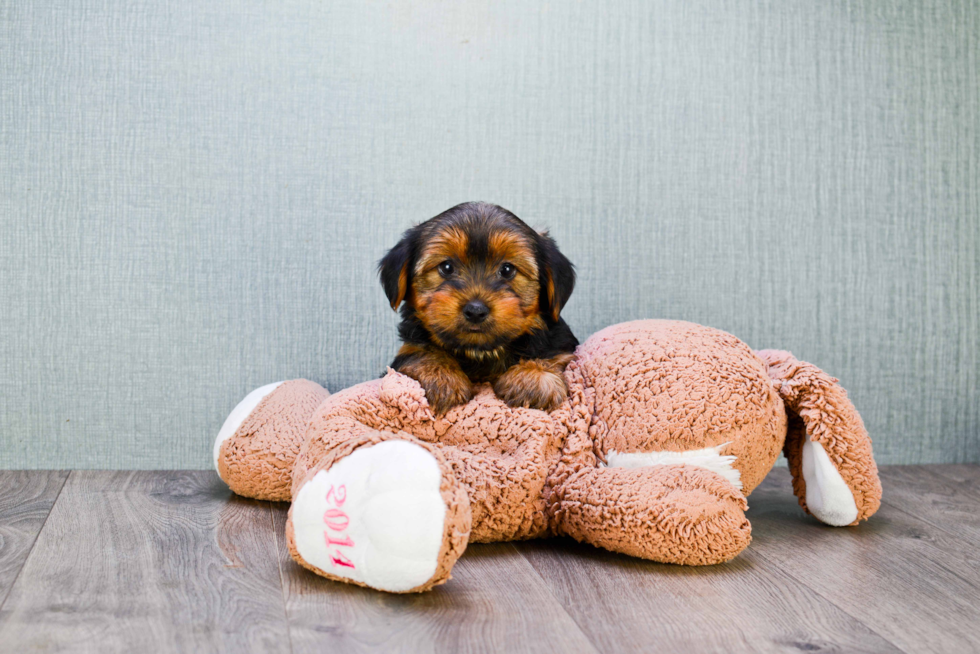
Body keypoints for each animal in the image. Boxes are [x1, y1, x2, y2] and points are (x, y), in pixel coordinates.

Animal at [378, 202, 580, 416]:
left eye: (507, 270)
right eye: (446, 267)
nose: (475, 310)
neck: (479, 352)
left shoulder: (561, 347)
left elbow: (556, 357)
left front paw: (533, 376)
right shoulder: (406, 352)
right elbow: (417, 352)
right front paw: (440, 375)